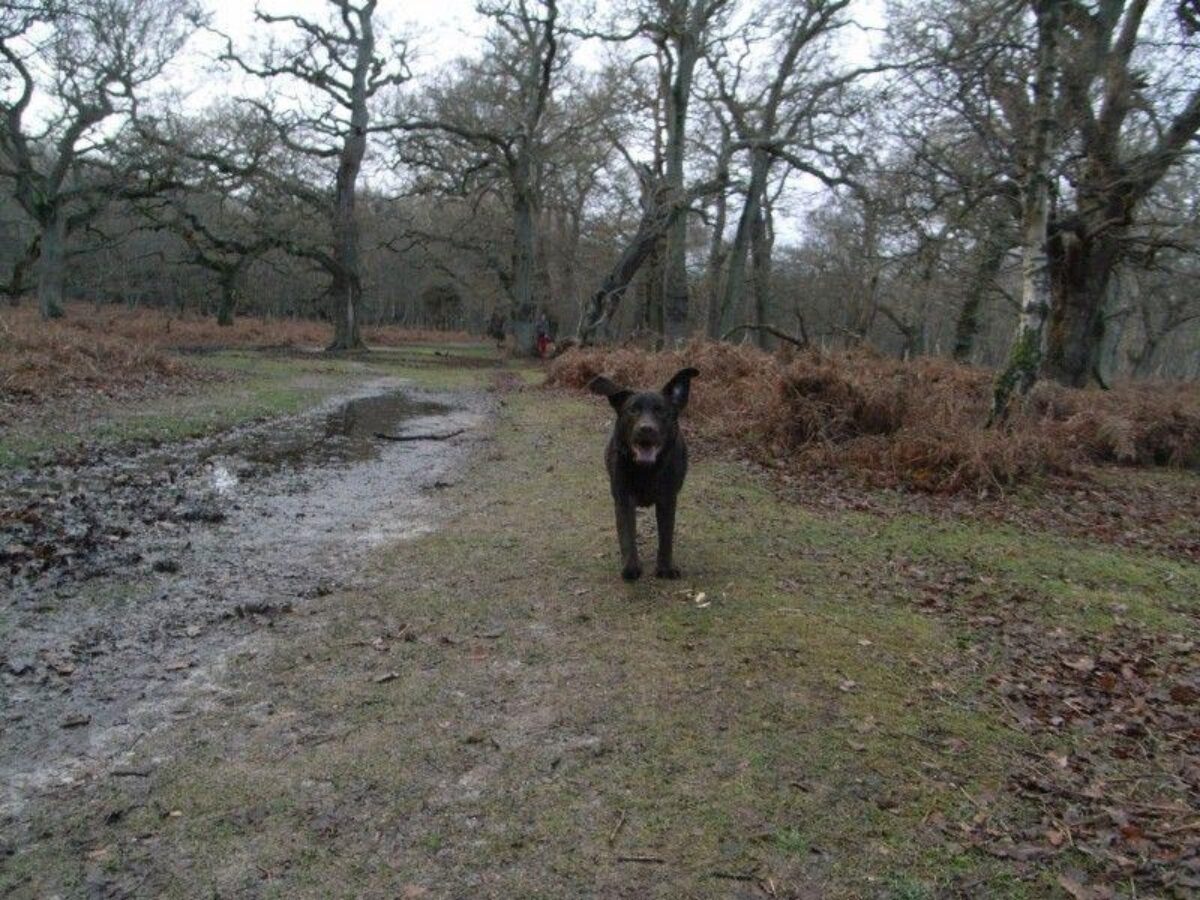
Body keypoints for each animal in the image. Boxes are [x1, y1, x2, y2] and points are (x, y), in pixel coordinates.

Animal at [588, 367, 700, 585]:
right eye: (632, 410)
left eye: (661, 411)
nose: (646, 428)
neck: (646, 470)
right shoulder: (623, 499)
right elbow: (627, 536)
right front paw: (631, 568)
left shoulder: (667, 499)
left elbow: (666, 536)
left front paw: (665, 569)